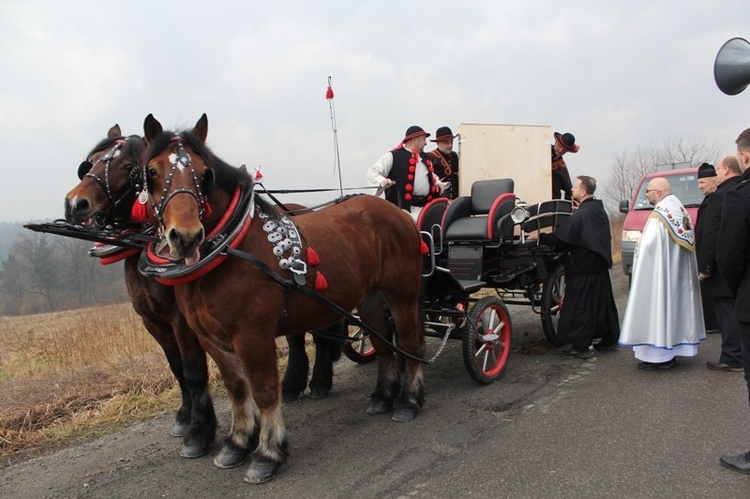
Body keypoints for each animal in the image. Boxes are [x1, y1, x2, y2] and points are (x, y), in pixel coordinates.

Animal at [138, 114, 426, 484]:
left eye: (205, 173)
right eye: (152, 171)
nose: (186, 236)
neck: (227, 252)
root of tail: (396, 212)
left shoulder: (252, 336)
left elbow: (264, 391)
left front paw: (267, 453)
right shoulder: (210, 337)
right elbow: (237, 388)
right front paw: (236, 443)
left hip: (402, 295)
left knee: (409, 340)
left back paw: (409, 401)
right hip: (370, 299)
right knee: (384, 344)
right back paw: (382, 396)